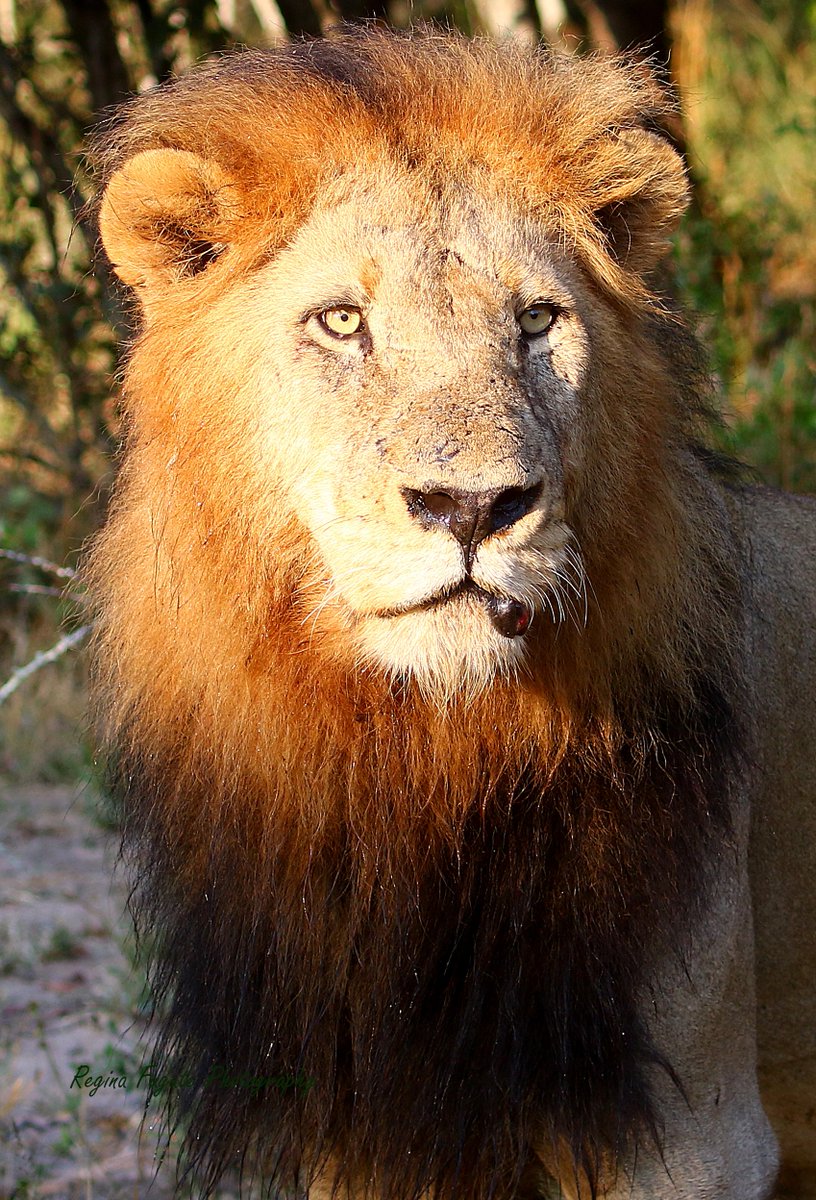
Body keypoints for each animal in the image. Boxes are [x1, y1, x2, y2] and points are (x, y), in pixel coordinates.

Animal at [86, 29, 816, 1200]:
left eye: (536, 321)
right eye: (343, 322)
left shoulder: (696, 1132)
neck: (414, 760)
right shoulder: (354, 1123)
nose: (474, 507)